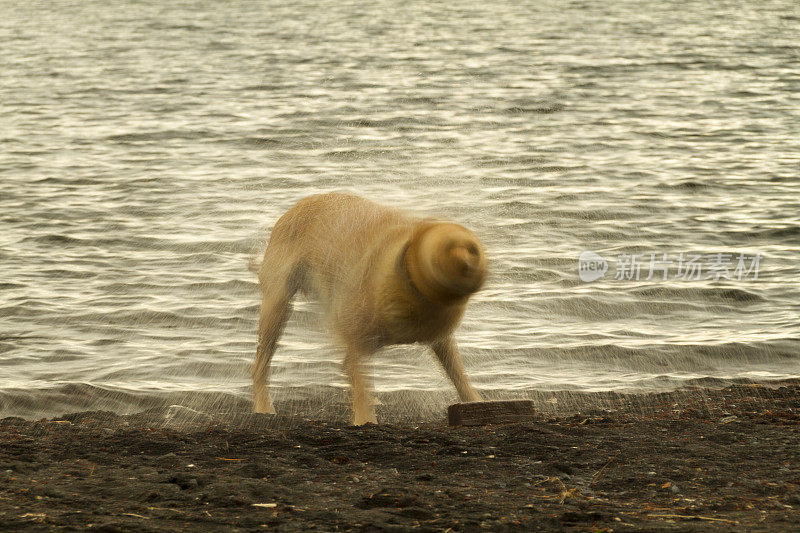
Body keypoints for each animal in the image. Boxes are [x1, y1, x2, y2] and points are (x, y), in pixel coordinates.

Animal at [253, 191, 484, 424]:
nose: (469, 260)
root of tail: (298, 205)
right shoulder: (355, 329)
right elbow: (360, 381)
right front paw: (365, 418)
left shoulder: (439, 336)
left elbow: (458, 373)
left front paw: (475, 401)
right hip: (278, 302)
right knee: (261, 361)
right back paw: (263, 405)